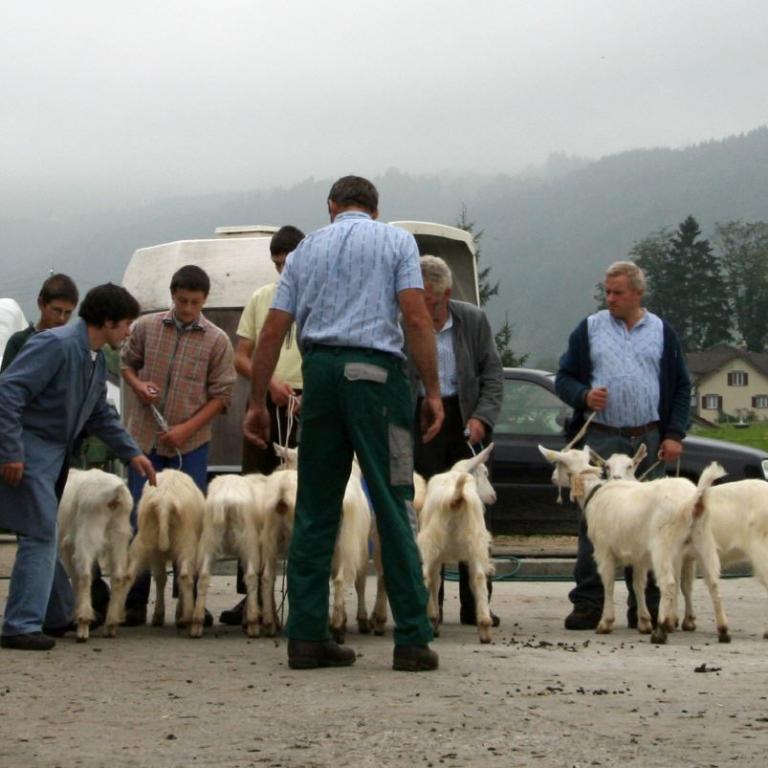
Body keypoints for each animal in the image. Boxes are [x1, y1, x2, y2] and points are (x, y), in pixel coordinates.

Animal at [58, 468, 133, 641]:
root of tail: (115, 492)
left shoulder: (67, 548)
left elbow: (76, 579)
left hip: (88, 533)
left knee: (85, 576)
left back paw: (83, 626)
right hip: (119, 534)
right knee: (118, 576)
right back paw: (111, 624)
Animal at [113, 469, 205, 630]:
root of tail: (164, 503)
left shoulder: (156, 554)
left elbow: (162, 579)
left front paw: (161, 615)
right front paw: (178, 612)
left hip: (145, 541)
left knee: (130, 576)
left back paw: (117, 618)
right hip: (186, 542)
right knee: (185, 576)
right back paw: (186, 619)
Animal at [190, 474, 264, 638]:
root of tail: (226, 500)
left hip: (209, 537)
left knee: (203, 576)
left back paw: (197, 624)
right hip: (248, 539)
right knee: (251, 577)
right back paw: (253, 625)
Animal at [417, 444, 496, 643]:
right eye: (484, 472)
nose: (494, 496)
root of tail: (456, 497)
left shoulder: (437, 555)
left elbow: (436, 581)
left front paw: (434, 619)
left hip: (430, 541)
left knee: (425, 576)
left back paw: (430, 620)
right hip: (476, 541)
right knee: (478, 577)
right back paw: (484, 628)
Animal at [539, 445, 729, 644]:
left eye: (558, 463)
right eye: (607, 466)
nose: (552, 477)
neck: (594, 492)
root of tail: (693, 499)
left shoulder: (603, 550)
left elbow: (608, 584)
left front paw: (606, 623)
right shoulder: (639, 556)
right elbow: (638, 585)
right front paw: (644, 622)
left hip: (664, 545)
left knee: (669, 584)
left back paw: (661, 630)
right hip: (702, 539)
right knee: (713, 582)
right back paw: (723, 630)